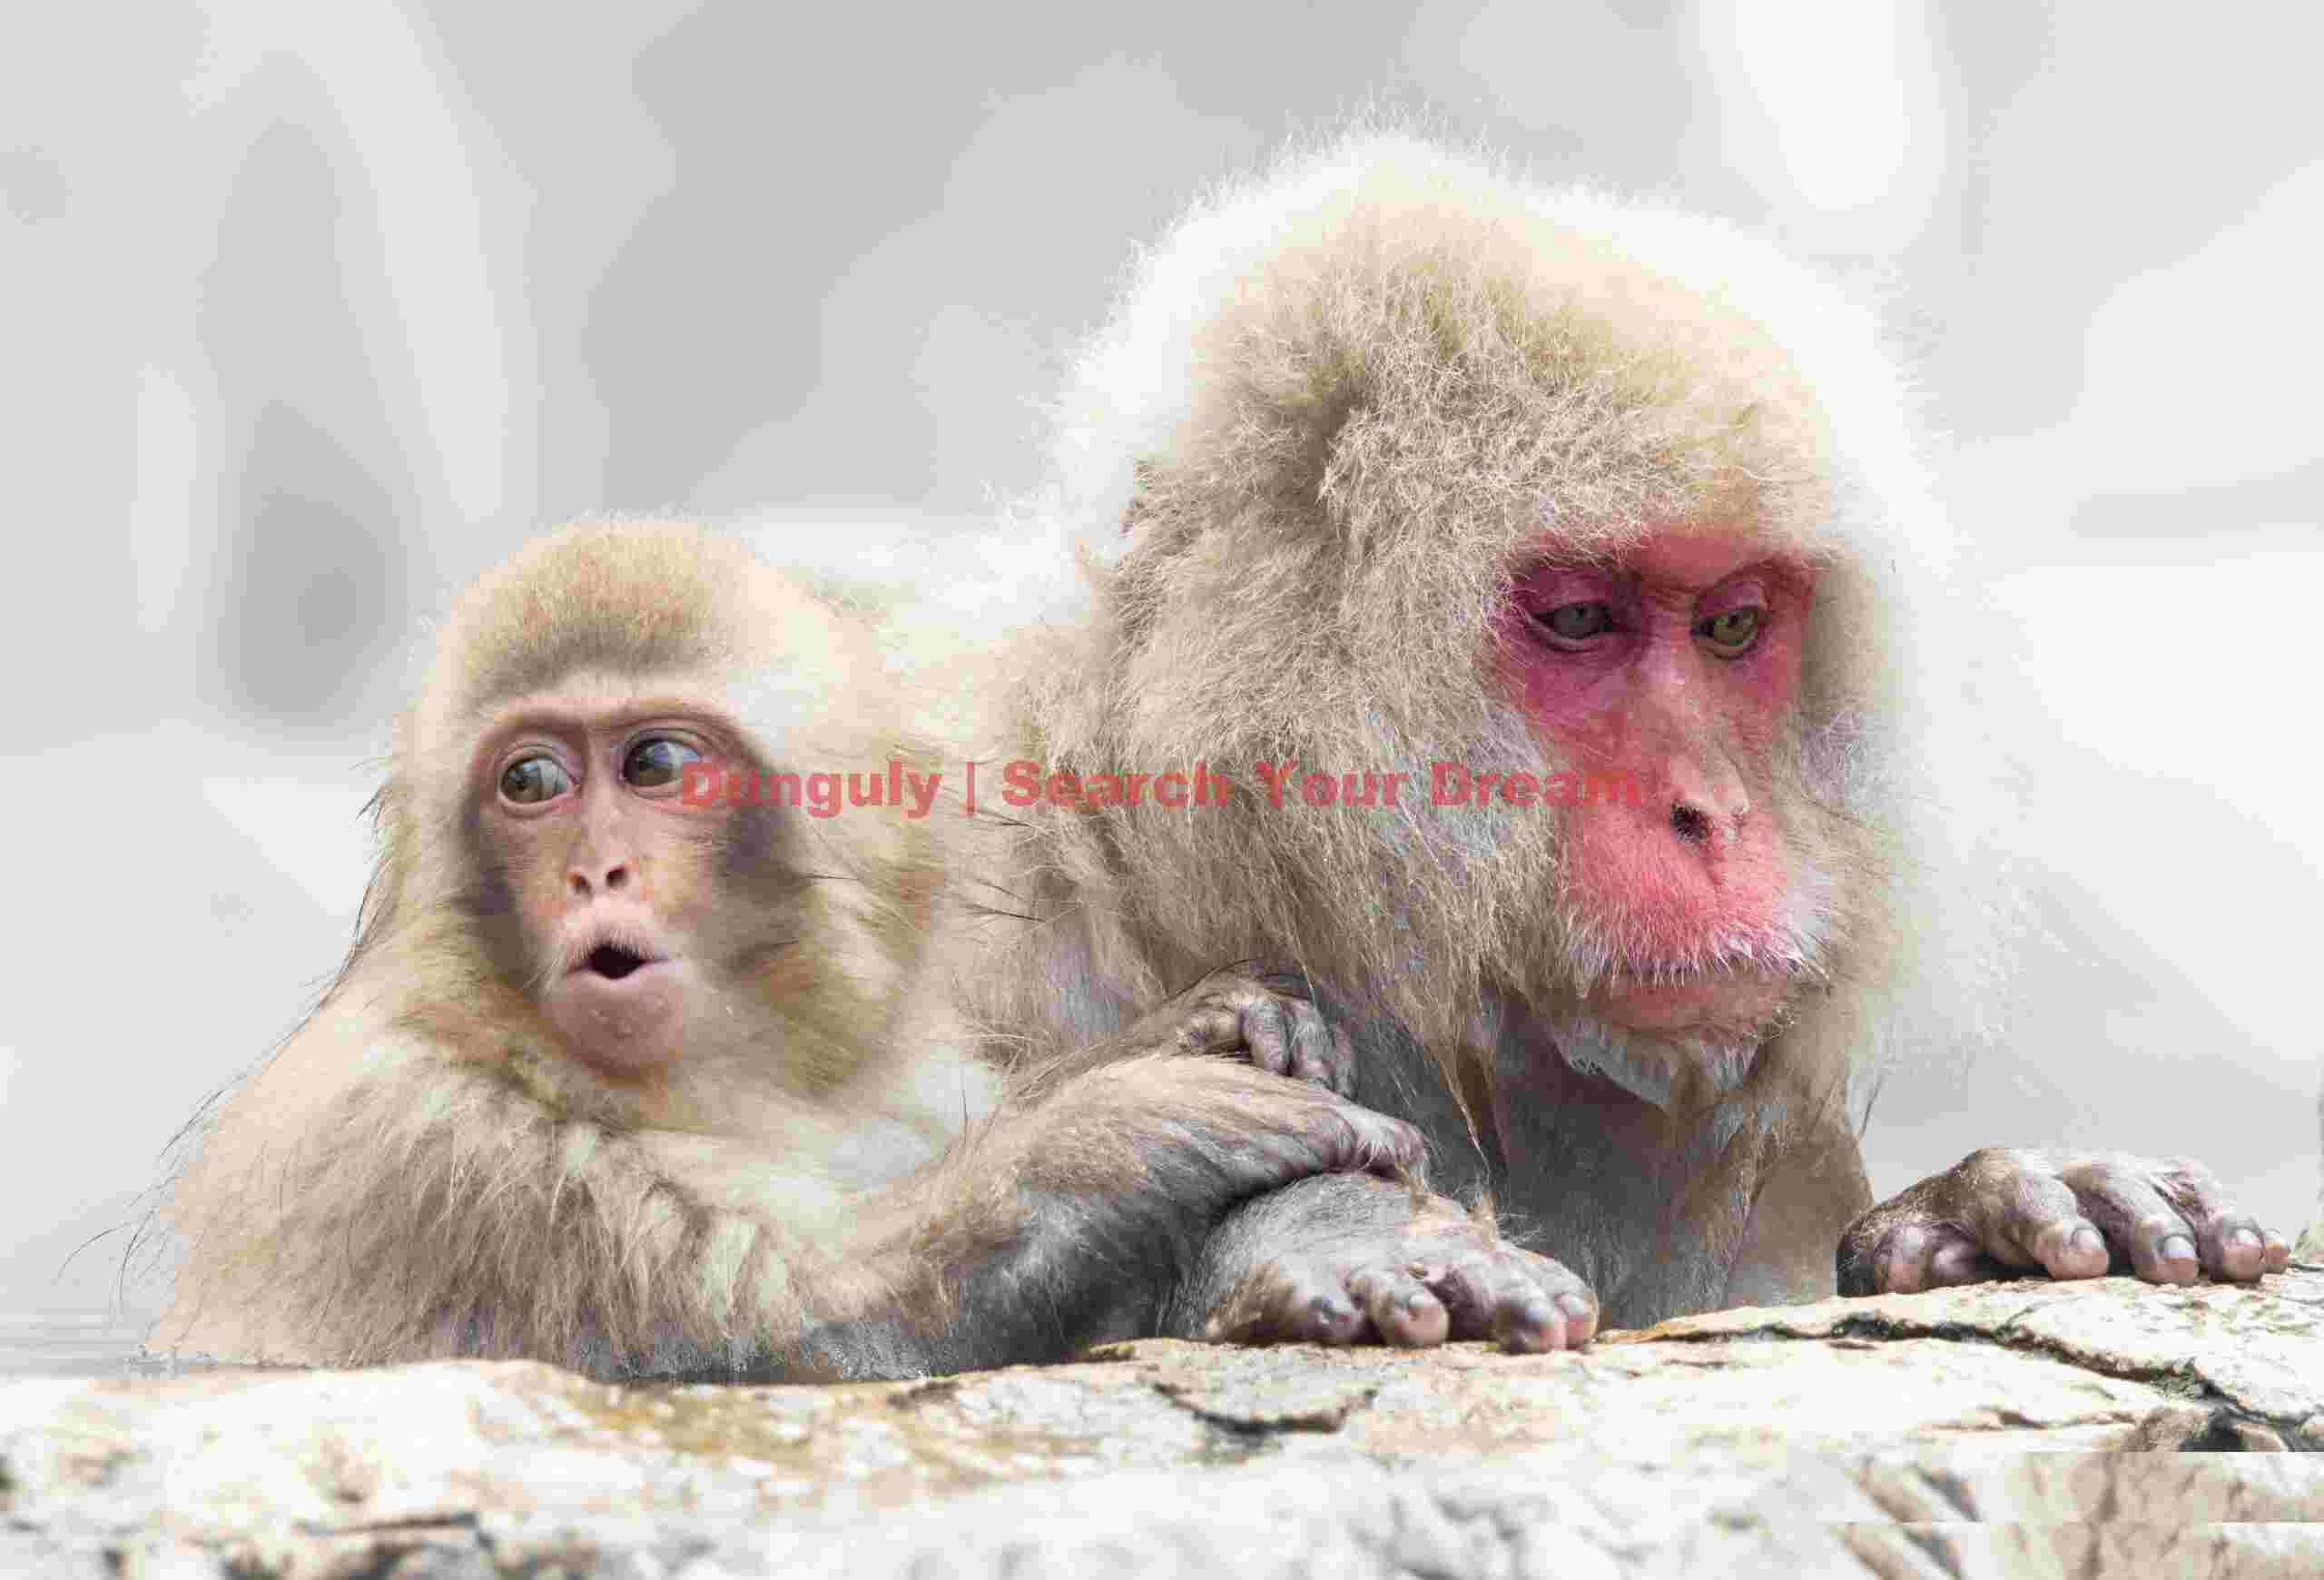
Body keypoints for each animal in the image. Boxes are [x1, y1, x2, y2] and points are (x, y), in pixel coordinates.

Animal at [145, 520, 1522, 1382]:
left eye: (654, 762)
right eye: (530, 780)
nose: (596, 872)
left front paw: (1226, 1044)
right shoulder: (418, 1151)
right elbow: (800, 1349)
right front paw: (1132, 1130)